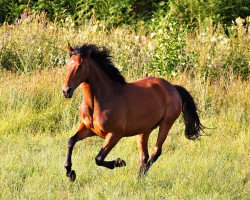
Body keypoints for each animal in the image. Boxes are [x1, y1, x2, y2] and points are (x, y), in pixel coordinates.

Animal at [62, 43, 203, 181]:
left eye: (80, 66)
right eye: (67, 64)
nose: (66, 91)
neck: (100, 100)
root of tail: (173, 87)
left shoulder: (115, 134)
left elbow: (99, 158)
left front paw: (119, 162)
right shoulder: (89, 128)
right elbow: (70, 141)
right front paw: (70, 173)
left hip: (166, 124)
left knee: (155, 152)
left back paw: (139, 179)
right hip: (144, 130)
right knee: (144, 156)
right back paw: (139, 180)